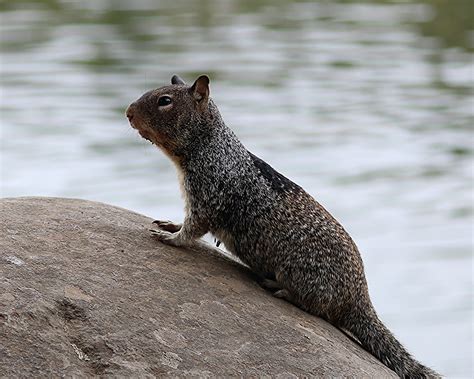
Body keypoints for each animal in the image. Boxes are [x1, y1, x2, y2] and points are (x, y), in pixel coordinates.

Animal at [127, 74, 440, 379]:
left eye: (164, 101)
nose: (128, 113)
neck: (212, 146)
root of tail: (359, 297)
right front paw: (170, 224)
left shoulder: (208, 196)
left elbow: (193, 228)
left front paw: (170, 237)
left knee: (319, 309)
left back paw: (280, 289)